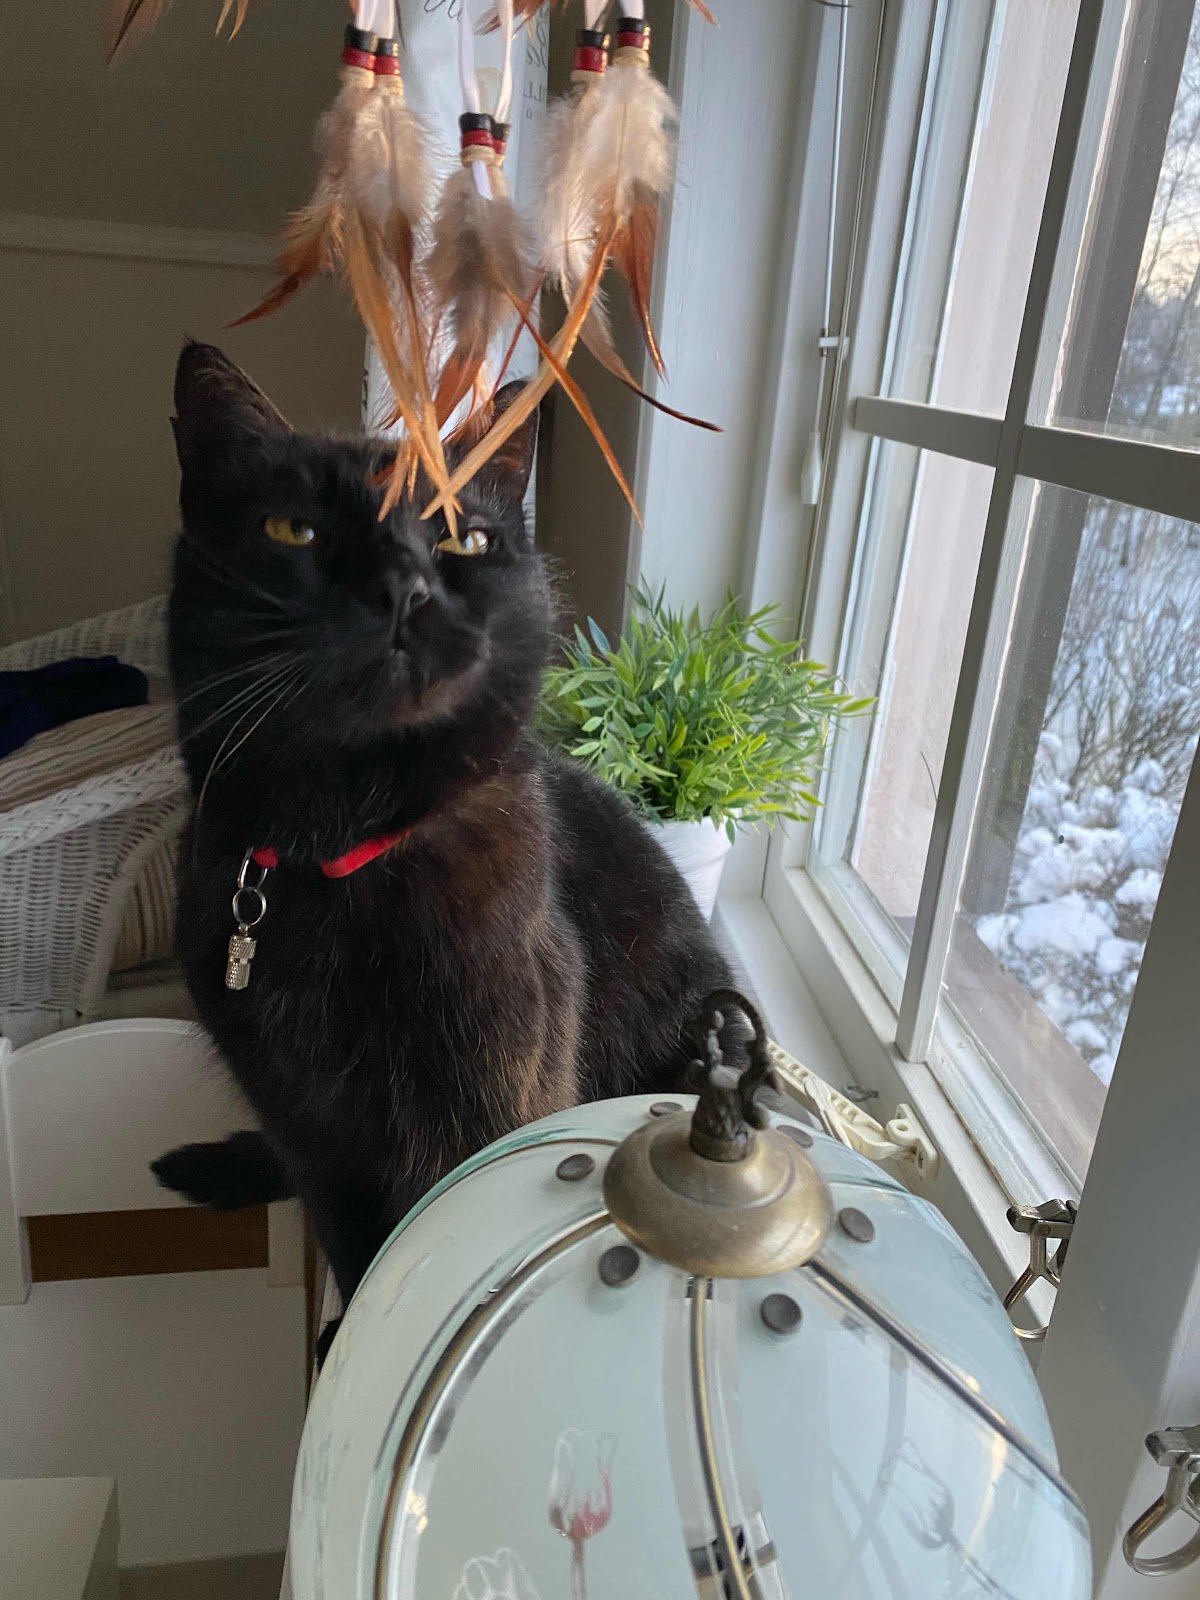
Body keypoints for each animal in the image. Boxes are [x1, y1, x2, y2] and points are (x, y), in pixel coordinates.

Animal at [153, 341, 733, 1330]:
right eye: (293, 530)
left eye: (467, 541)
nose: (403, 588)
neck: (338, 856)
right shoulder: (309, 1133)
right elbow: (361, 1252)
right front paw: (345, 1337)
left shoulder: (484, 1107)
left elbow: (425, 1251)